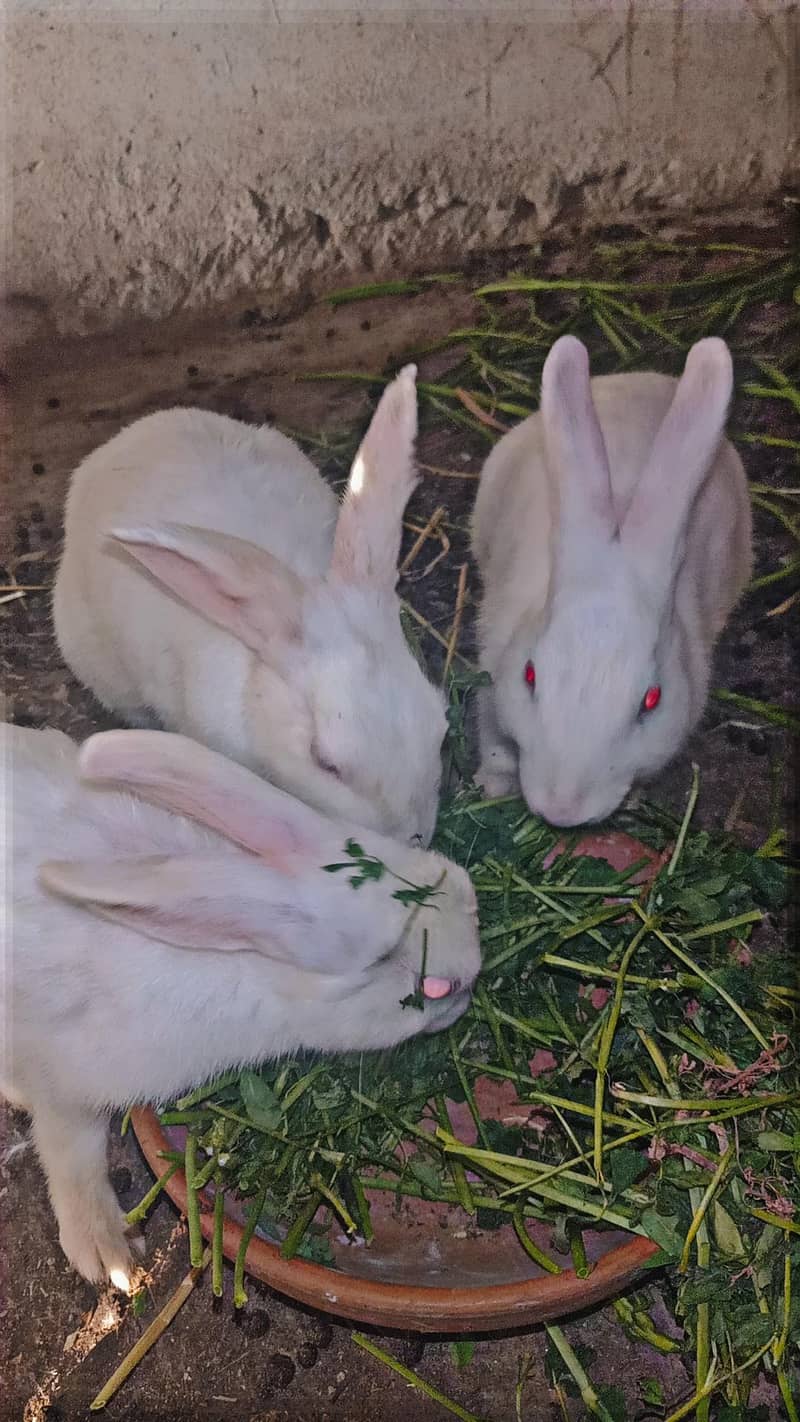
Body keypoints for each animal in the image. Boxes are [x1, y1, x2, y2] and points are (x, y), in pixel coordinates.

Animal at [1, 721, 481, 1288]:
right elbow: (71, 1150)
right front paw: (108, 1254)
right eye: (428, 986)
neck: (242, 956)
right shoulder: (66, 1079)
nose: (476, 961)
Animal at [471, 335, 752, 826]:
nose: (562, 809)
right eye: (530, 675)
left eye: (652, 700)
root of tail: (642, 380)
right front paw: (492, 787)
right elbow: (495, 745)